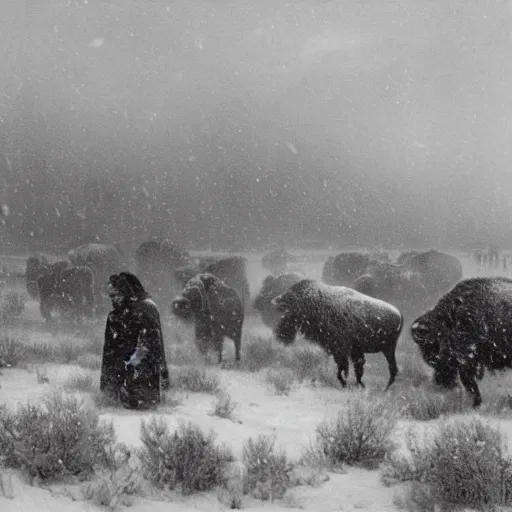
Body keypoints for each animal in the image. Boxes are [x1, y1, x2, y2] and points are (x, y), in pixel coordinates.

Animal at [270, 278, 402, 390]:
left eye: (292, 296)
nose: (274, 301)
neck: (317, 301)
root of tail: (399, 314)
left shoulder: (340, 349)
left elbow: (343, 368)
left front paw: (344, 383)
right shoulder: (349, 350)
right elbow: (351, 368)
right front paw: (352, 384)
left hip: (388, 349)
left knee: (392, 369)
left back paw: (384, 389)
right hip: (385, 350)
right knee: (389, 369)